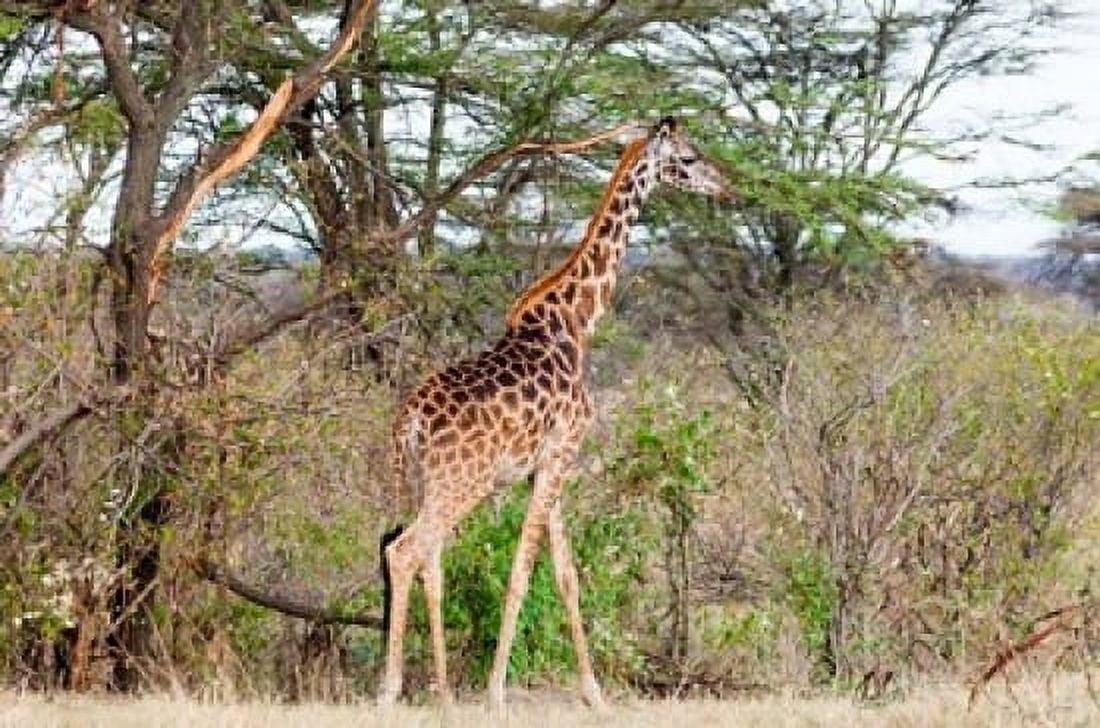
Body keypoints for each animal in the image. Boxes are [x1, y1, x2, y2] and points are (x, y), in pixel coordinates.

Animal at [377, 117, 734, 710]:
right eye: (687, 158)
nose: (727, 187)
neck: (577, 321)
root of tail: (410, 422)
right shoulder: (561, 454)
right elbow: (523, 571)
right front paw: (497, 694)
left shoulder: (547, 465)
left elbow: (565, 573)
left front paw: (594, 695)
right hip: (463, 482)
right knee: (407, 552)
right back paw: (398, 691)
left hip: (421, 481)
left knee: (424, 556)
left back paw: (437, 693)